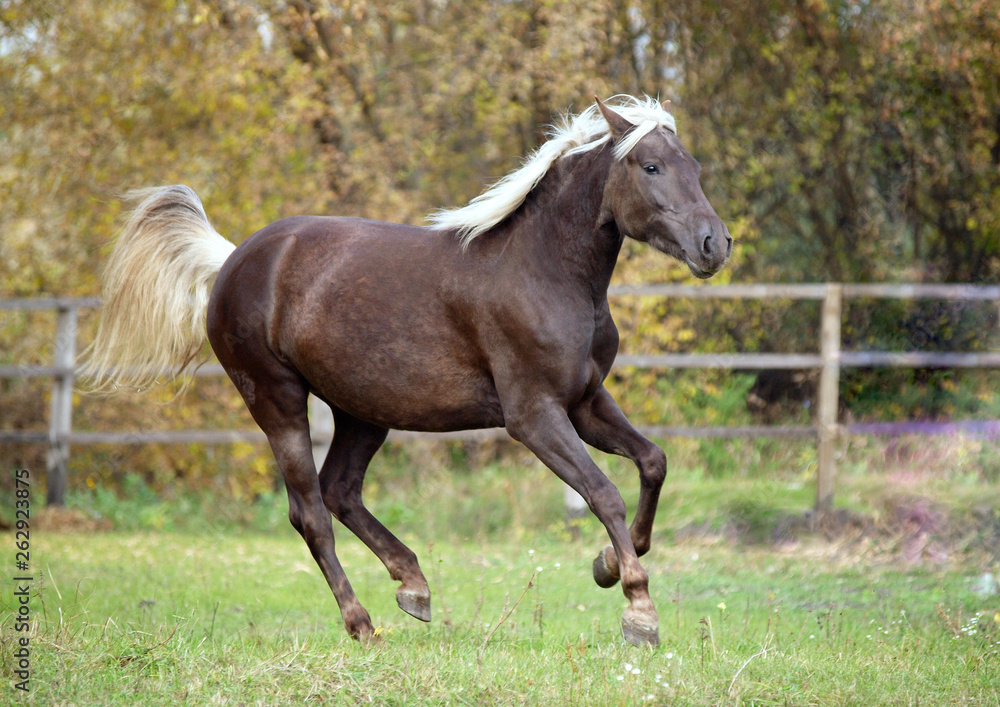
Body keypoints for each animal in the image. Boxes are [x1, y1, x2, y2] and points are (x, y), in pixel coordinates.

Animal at [82, 95, 731, 647]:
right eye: (650, 166)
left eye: (694, 166)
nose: (714, 245)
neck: (544, 269)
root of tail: (233, 260)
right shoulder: (534, 416)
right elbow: (604, 493)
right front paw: (639, 611)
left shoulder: (585, 402)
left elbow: (652, 462)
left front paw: (606, 565)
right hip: (276, 400)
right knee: (309, 512)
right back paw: (362, 624)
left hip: (363, 411)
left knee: (339, 490)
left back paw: (413, 586)